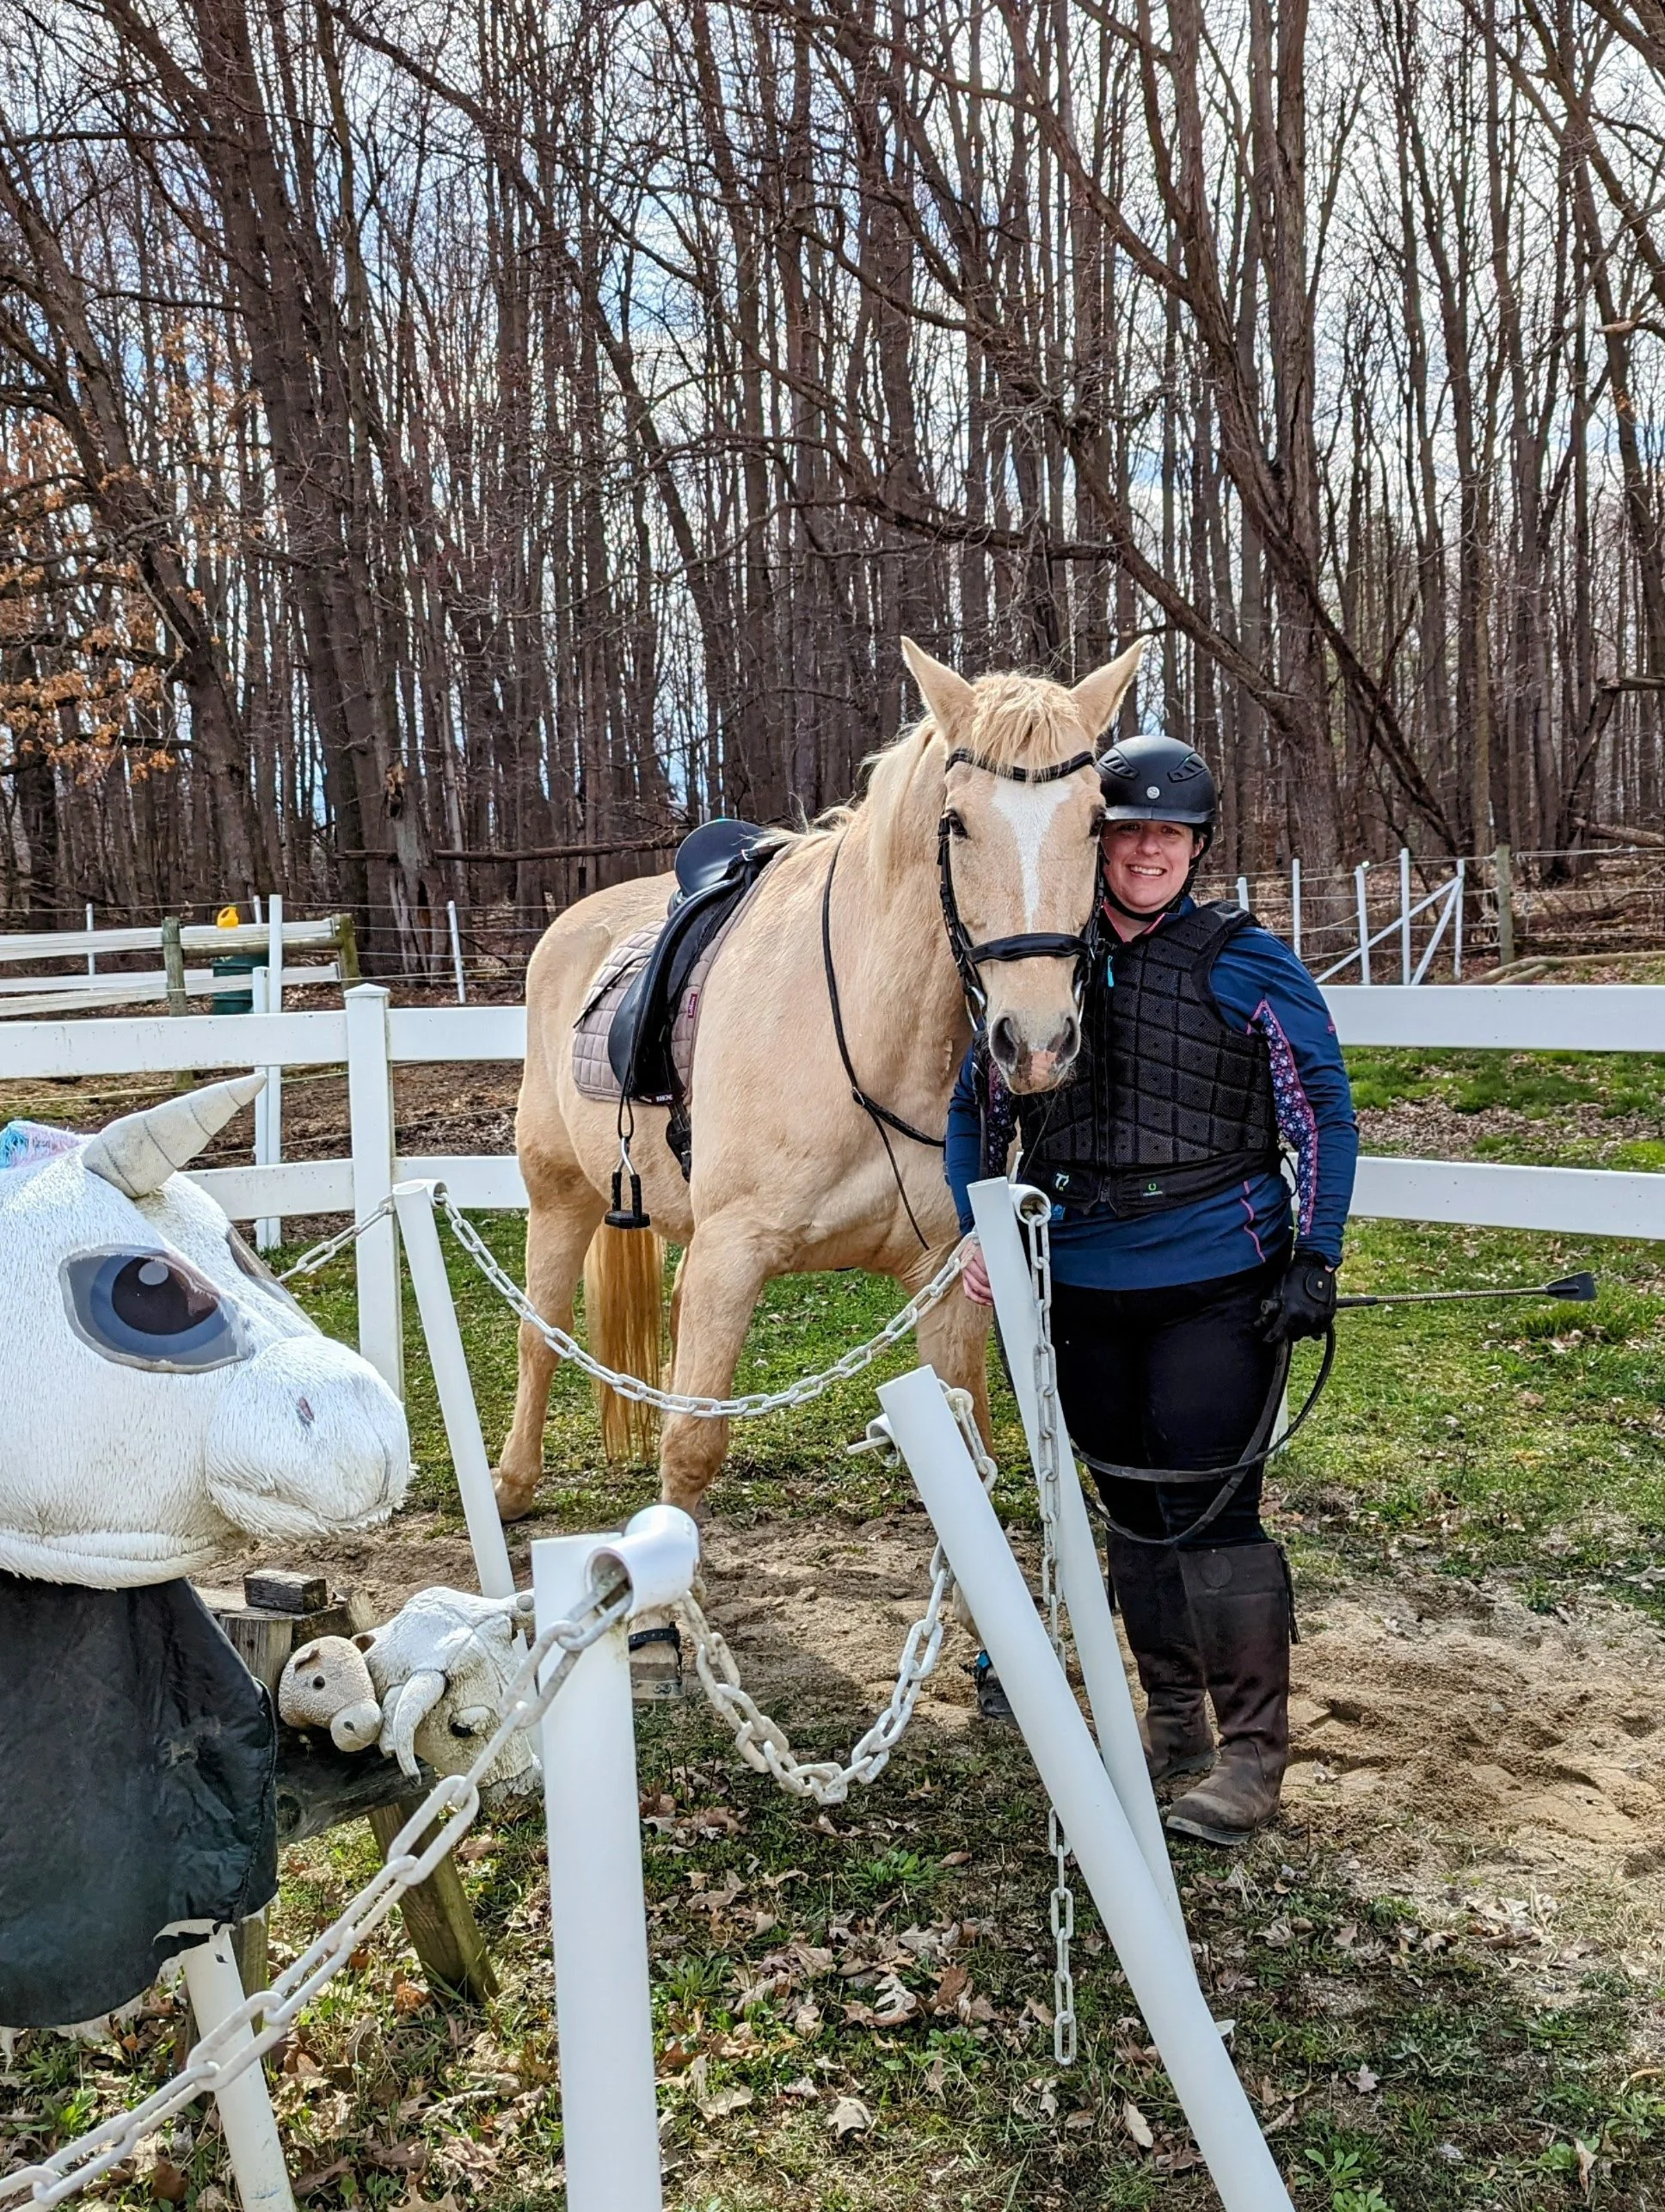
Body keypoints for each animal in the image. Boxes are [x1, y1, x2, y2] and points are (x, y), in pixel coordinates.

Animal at [496, 636, 1143, 1519]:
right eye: (956, 823)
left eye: (1097, 822)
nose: (1037, 1041)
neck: (870, 1052)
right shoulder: (731, 1256)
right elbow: (691, 1447)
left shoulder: (946, 1279)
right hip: (559, 1194)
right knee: (540, 1333)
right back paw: (510, 1484)